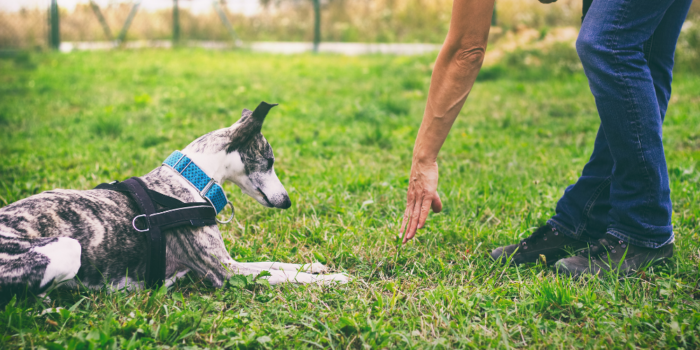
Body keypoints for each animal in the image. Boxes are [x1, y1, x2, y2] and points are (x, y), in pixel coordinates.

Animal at [0, 102, 350, 300]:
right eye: (270, 160)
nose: (287, 202)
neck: (190, 179)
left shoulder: (230, 262)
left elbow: (276, 264)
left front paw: (316, 266)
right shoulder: (225, 272)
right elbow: (286, 276)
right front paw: (334, 280)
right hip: (66, 248)